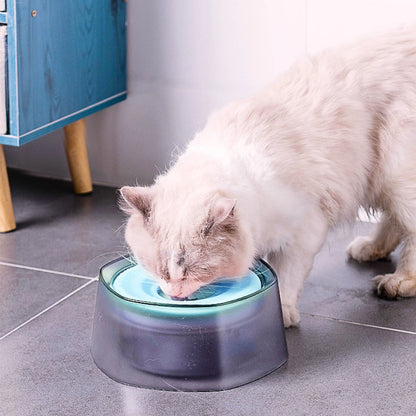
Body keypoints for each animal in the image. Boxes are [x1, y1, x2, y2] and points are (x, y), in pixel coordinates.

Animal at [121, 27, 416, 328]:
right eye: (159, 270)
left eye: (195, 270)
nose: (174, 294)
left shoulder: (303, 234)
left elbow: (284, 280)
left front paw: (282, 314)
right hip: (384, 182)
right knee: (394, 221)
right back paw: (370, 248)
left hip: (395, 174)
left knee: (408, 230)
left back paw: (397, 282)